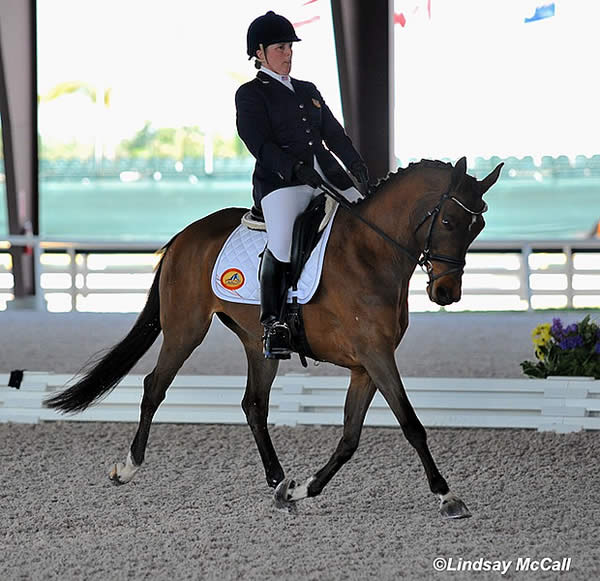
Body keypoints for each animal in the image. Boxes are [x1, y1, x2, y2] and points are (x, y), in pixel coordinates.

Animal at [44, 156, 502, 520]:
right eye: (447, 221)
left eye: (478, 225)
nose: (446, 293)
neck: (371, 252)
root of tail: (185, 235)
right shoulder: (375, 356)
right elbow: (411, 424)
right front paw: (448, 496)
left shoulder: (367, 365)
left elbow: (349, 438)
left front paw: (301, 490)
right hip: (185, 330)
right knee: (154, 387)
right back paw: (128, 467)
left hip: (258, 344)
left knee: (253, 404)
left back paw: (278, 480)